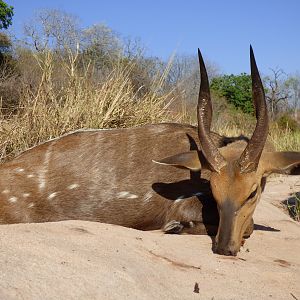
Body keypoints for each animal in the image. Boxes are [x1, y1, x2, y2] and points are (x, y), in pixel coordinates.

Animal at [0, 47, 300, 255]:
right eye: (214, 192)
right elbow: (247, 226)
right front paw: (176, 227)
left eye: (253, 192)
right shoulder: (184, 205)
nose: (225, 249)